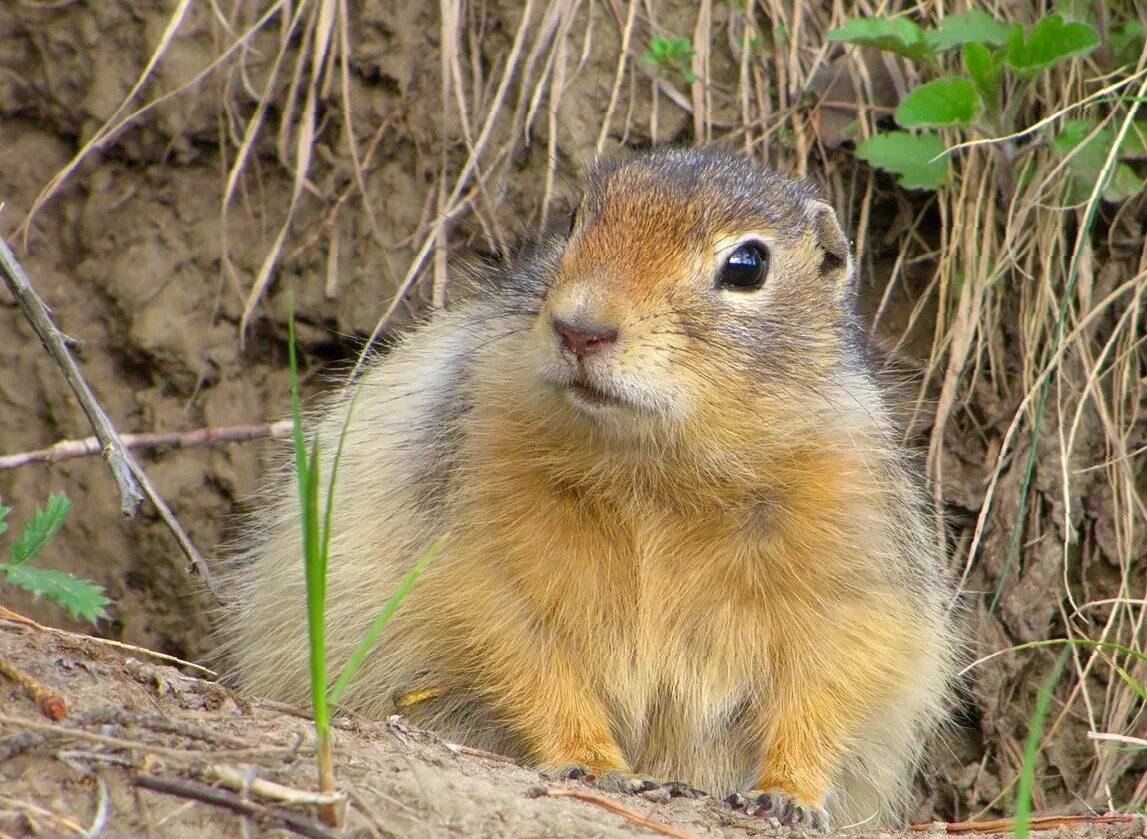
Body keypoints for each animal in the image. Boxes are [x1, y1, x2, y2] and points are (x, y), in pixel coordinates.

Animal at [223, 148, 958, 830]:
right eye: (575, 219)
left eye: (747, 265)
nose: (580, 328)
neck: (657, 465)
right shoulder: (479, 528)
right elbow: (523, 652)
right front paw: (596, 764)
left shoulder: (850, 532)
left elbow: (829, 678)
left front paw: (785, 794)